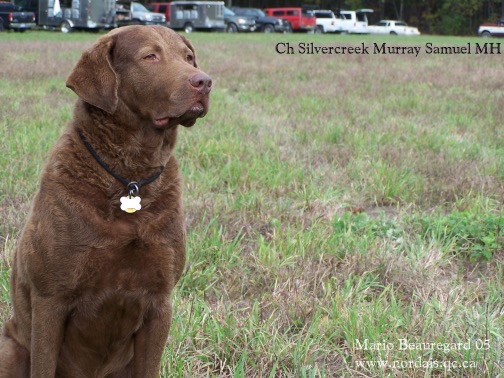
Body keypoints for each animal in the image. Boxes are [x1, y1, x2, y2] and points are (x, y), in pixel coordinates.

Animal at [0, 25, 211, 376]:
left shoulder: (159, 303)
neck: (129, 177)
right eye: (150, 56)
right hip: (11, 346)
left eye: (189, 57)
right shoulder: (49, 299)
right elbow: (43, 363)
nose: (204, 81)